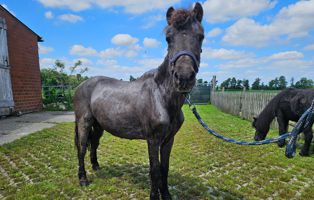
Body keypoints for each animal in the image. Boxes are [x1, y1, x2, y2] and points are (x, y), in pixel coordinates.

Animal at [74, 3, 206, 200]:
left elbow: (164, 168)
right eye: (168, 38)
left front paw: (166, 195)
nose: (183, 77)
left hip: (98, 125)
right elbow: (154, 170)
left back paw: (96, 166)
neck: (161, 96)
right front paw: (154, 196)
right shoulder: (153, 139)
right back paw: (83, 179)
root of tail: (80, 86)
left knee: (94, 144)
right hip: (84, 122)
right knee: (82, 148)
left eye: (201, 36)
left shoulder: (169, 139)